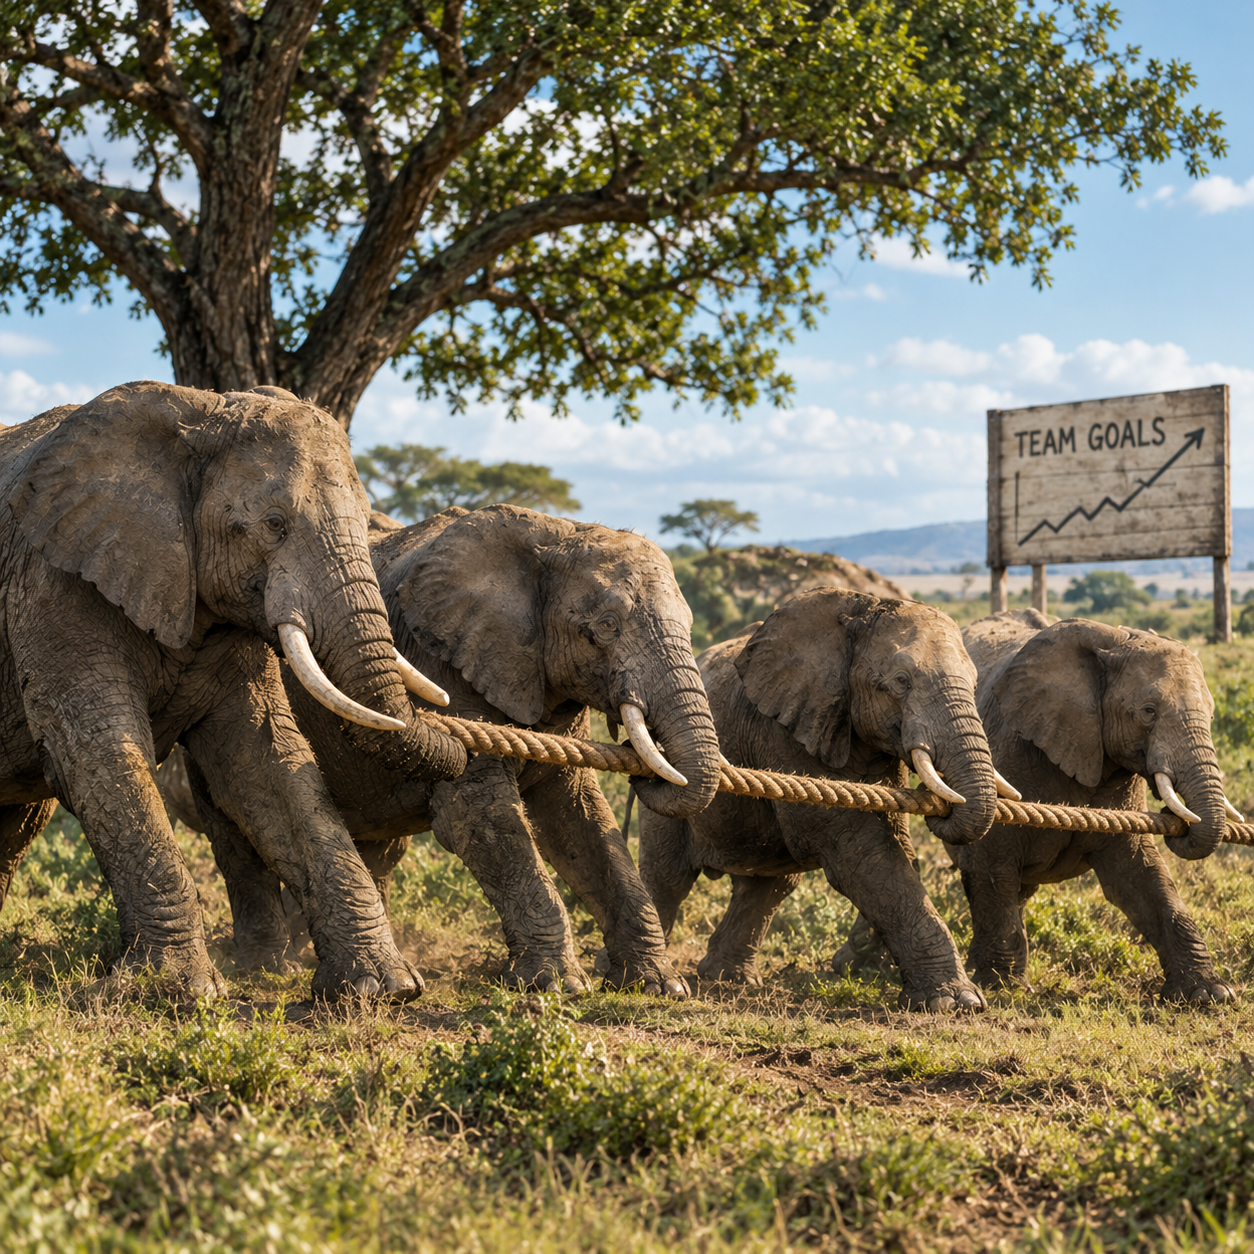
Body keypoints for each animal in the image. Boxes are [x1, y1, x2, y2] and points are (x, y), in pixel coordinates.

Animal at [0, 381, 466, 999]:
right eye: (274, 523)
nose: (452, 724)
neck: (197, 415)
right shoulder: (52, 580)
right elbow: (100, 752)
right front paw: (176, 992)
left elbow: (266, 764)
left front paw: (383, 988)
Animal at [174, 504, 723, 995]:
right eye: (606, 625)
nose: (641, 760)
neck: (556, 533)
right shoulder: (447, 662)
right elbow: (477, 815)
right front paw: (557, 986)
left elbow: (580, 820)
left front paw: (658, 986)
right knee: (235, 830)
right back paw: (268, 968)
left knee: (374, 845)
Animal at [636, 587, 1002, 1012]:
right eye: (901, 681)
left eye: (975, 682)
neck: (860, 609)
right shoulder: (787, 730)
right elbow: (859, 852)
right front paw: (958, 1002)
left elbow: (896, 845)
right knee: (669, 874)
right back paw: (651, 978)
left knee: (770, 884)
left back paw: (729, 978)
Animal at [938, 609, 1236, 1001]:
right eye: (1148, 711)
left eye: (1212, 716)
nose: (1174, 813)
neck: (1114, 642)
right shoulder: (1008, 749)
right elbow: (990, 866)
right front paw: (1006, 991)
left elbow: (1142, 876)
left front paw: (1211, 994)